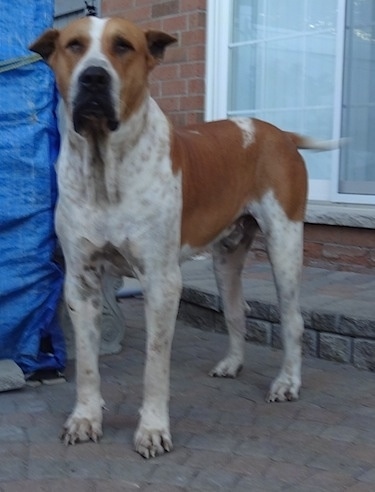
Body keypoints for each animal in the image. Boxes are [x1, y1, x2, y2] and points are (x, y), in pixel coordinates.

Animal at [30, 15, 338, 460]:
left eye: (123, 46)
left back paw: (287, 383)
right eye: (74, 46)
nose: (93, 77)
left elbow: (155, 365)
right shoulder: (81, 281)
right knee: (236, 310)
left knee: (293, 319)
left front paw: (152, 429)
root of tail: (278, 133)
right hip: (225, 259)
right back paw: (232, 364)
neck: (105, 167)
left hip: (285, 245)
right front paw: (86, 418)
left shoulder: (161, 282)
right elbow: (87, 362)